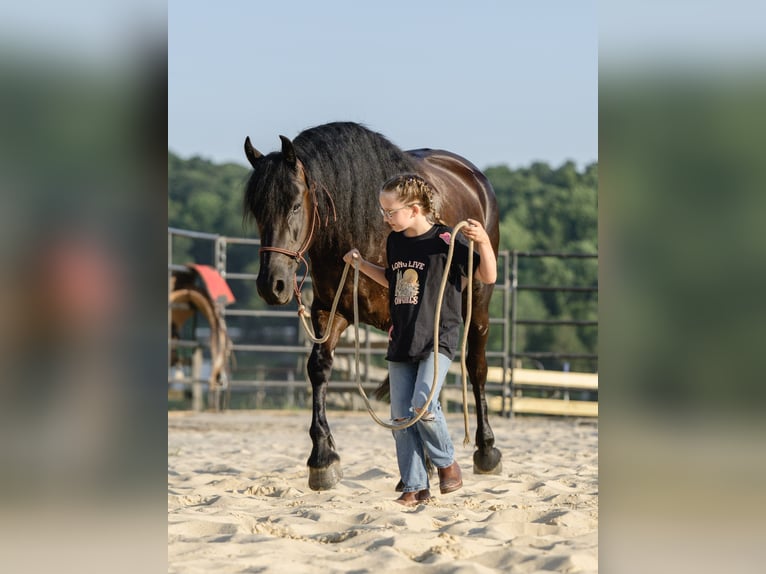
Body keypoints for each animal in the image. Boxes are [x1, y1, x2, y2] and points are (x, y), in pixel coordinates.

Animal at [243, 122, 502, 491]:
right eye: (258, 212)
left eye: (294, 205)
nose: (271, 285)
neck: (358, 230)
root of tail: (474, 178)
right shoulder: (330, 311)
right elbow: (318, 368)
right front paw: (323, 460)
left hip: (477, 304)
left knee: (475, 367)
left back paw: (486, 450)